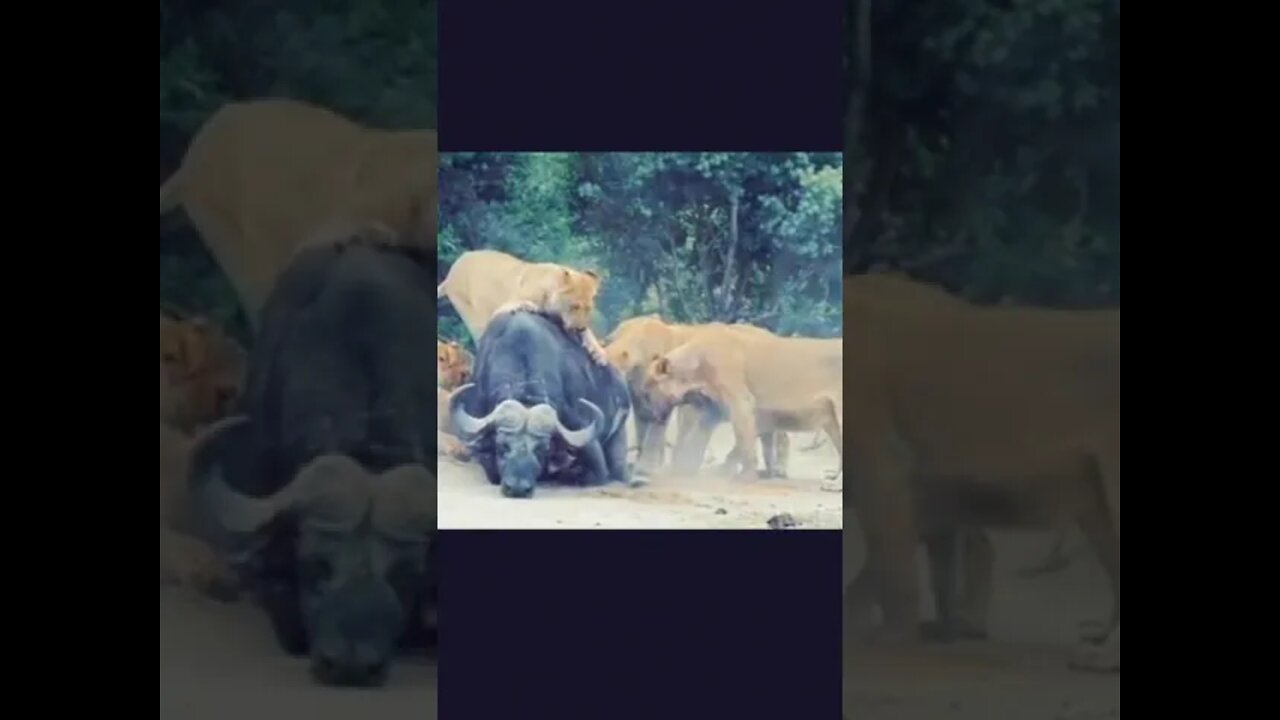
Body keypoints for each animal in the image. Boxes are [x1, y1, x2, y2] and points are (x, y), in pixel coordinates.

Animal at [437, 249, 608, 365]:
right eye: (574, 306)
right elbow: (522, 303)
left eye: (588, 309)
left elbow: (589, 333)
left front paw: (598, 352)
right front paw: (530, 306)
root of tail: (453, 269)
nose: (579, 328)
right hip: (471, 314)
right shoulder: (505, 304)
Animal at [638, 325, 843, 483]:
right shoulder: (713, 408)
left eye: (647, 393)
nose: (647, 415)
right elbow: (699, 437)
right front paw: (685, 468)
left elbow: (744, 439)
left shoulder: (740, 401)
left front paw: (747, 476)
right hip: (831, 420)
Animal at [839, 272, 1120, 672]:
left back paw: (1103, 655)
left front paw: (893, 638)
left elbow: (890, 561)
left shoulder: (883, 464)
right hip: (1093, 493)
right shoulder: (926, 490)